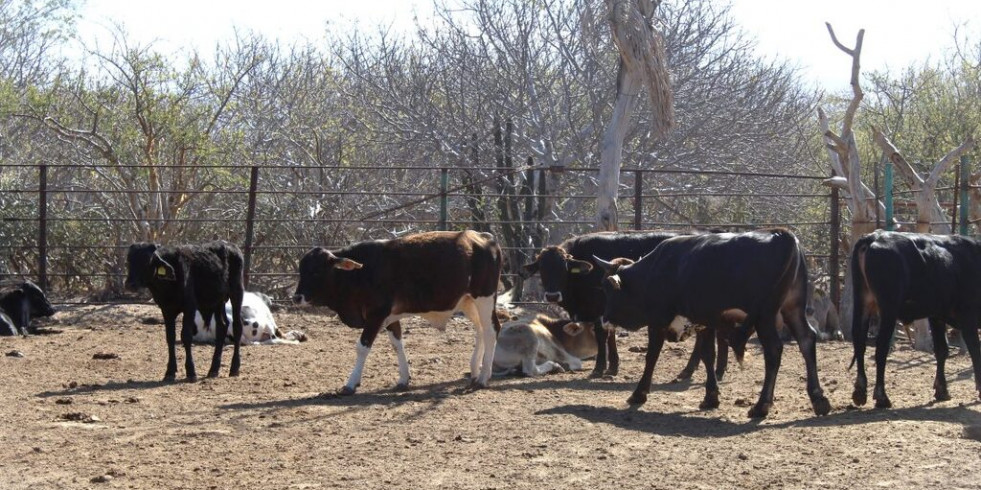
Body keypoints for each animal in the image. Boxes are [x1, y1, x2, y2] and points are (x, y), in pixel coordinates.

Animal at [124, 241, 245, 382]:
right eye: (129, 261)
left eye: (147, 261)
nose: (130, 284)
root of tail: (232, 246)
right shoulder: (167, 310)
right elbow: (170, 338)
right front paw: (169, 372)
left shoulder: (189, 307)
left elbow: (186, 336)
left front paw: (191, 372)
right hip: (217, 302)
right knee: (222, 326)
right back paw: (213, 370)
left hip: (236, 293)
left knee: (237, 327)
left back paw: (234, 368)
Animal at [290, 230, 502, 394]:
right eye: (302, 270)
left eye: (316, 271)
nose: (297, 297)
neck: (361, 272)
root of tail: (482, 236)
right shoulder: (390, 317)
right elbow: (397, 344)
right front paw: (403, 379)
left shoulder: (376, 314)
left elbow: (362, 347)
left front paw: (350, 384)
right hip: (468, 302)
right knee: (480, 330)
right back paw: (475, 371)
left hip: (484, 297)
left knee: (491, 330)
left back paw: (483, 377)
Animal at [592, 229, 832, 418]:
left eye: (609, 290)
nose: (604, 319)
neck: (654, 273)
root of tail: (782, 236)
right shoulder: (705, 321)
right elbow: (708, 355)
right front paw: (711, 397)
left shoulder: (658, 321)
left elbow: (652, 356)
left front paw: (639, 393)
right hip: (793, 309)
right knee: (806, 339)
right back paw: (818, 399)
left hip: (765, 317)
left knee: (774, 350)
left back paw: (761, 405)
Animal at [848, 232, 980, 408]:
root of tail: (874, 237)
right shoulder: (968, 318)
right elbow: (975, 351)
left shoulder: (937, 316)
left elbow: (942, 350)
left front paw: (942, 390)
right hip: (888, 309)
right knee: (881, 348)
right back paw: (882, 397)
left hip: (863, 302)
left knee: (859, 342)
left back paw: (860, 392)